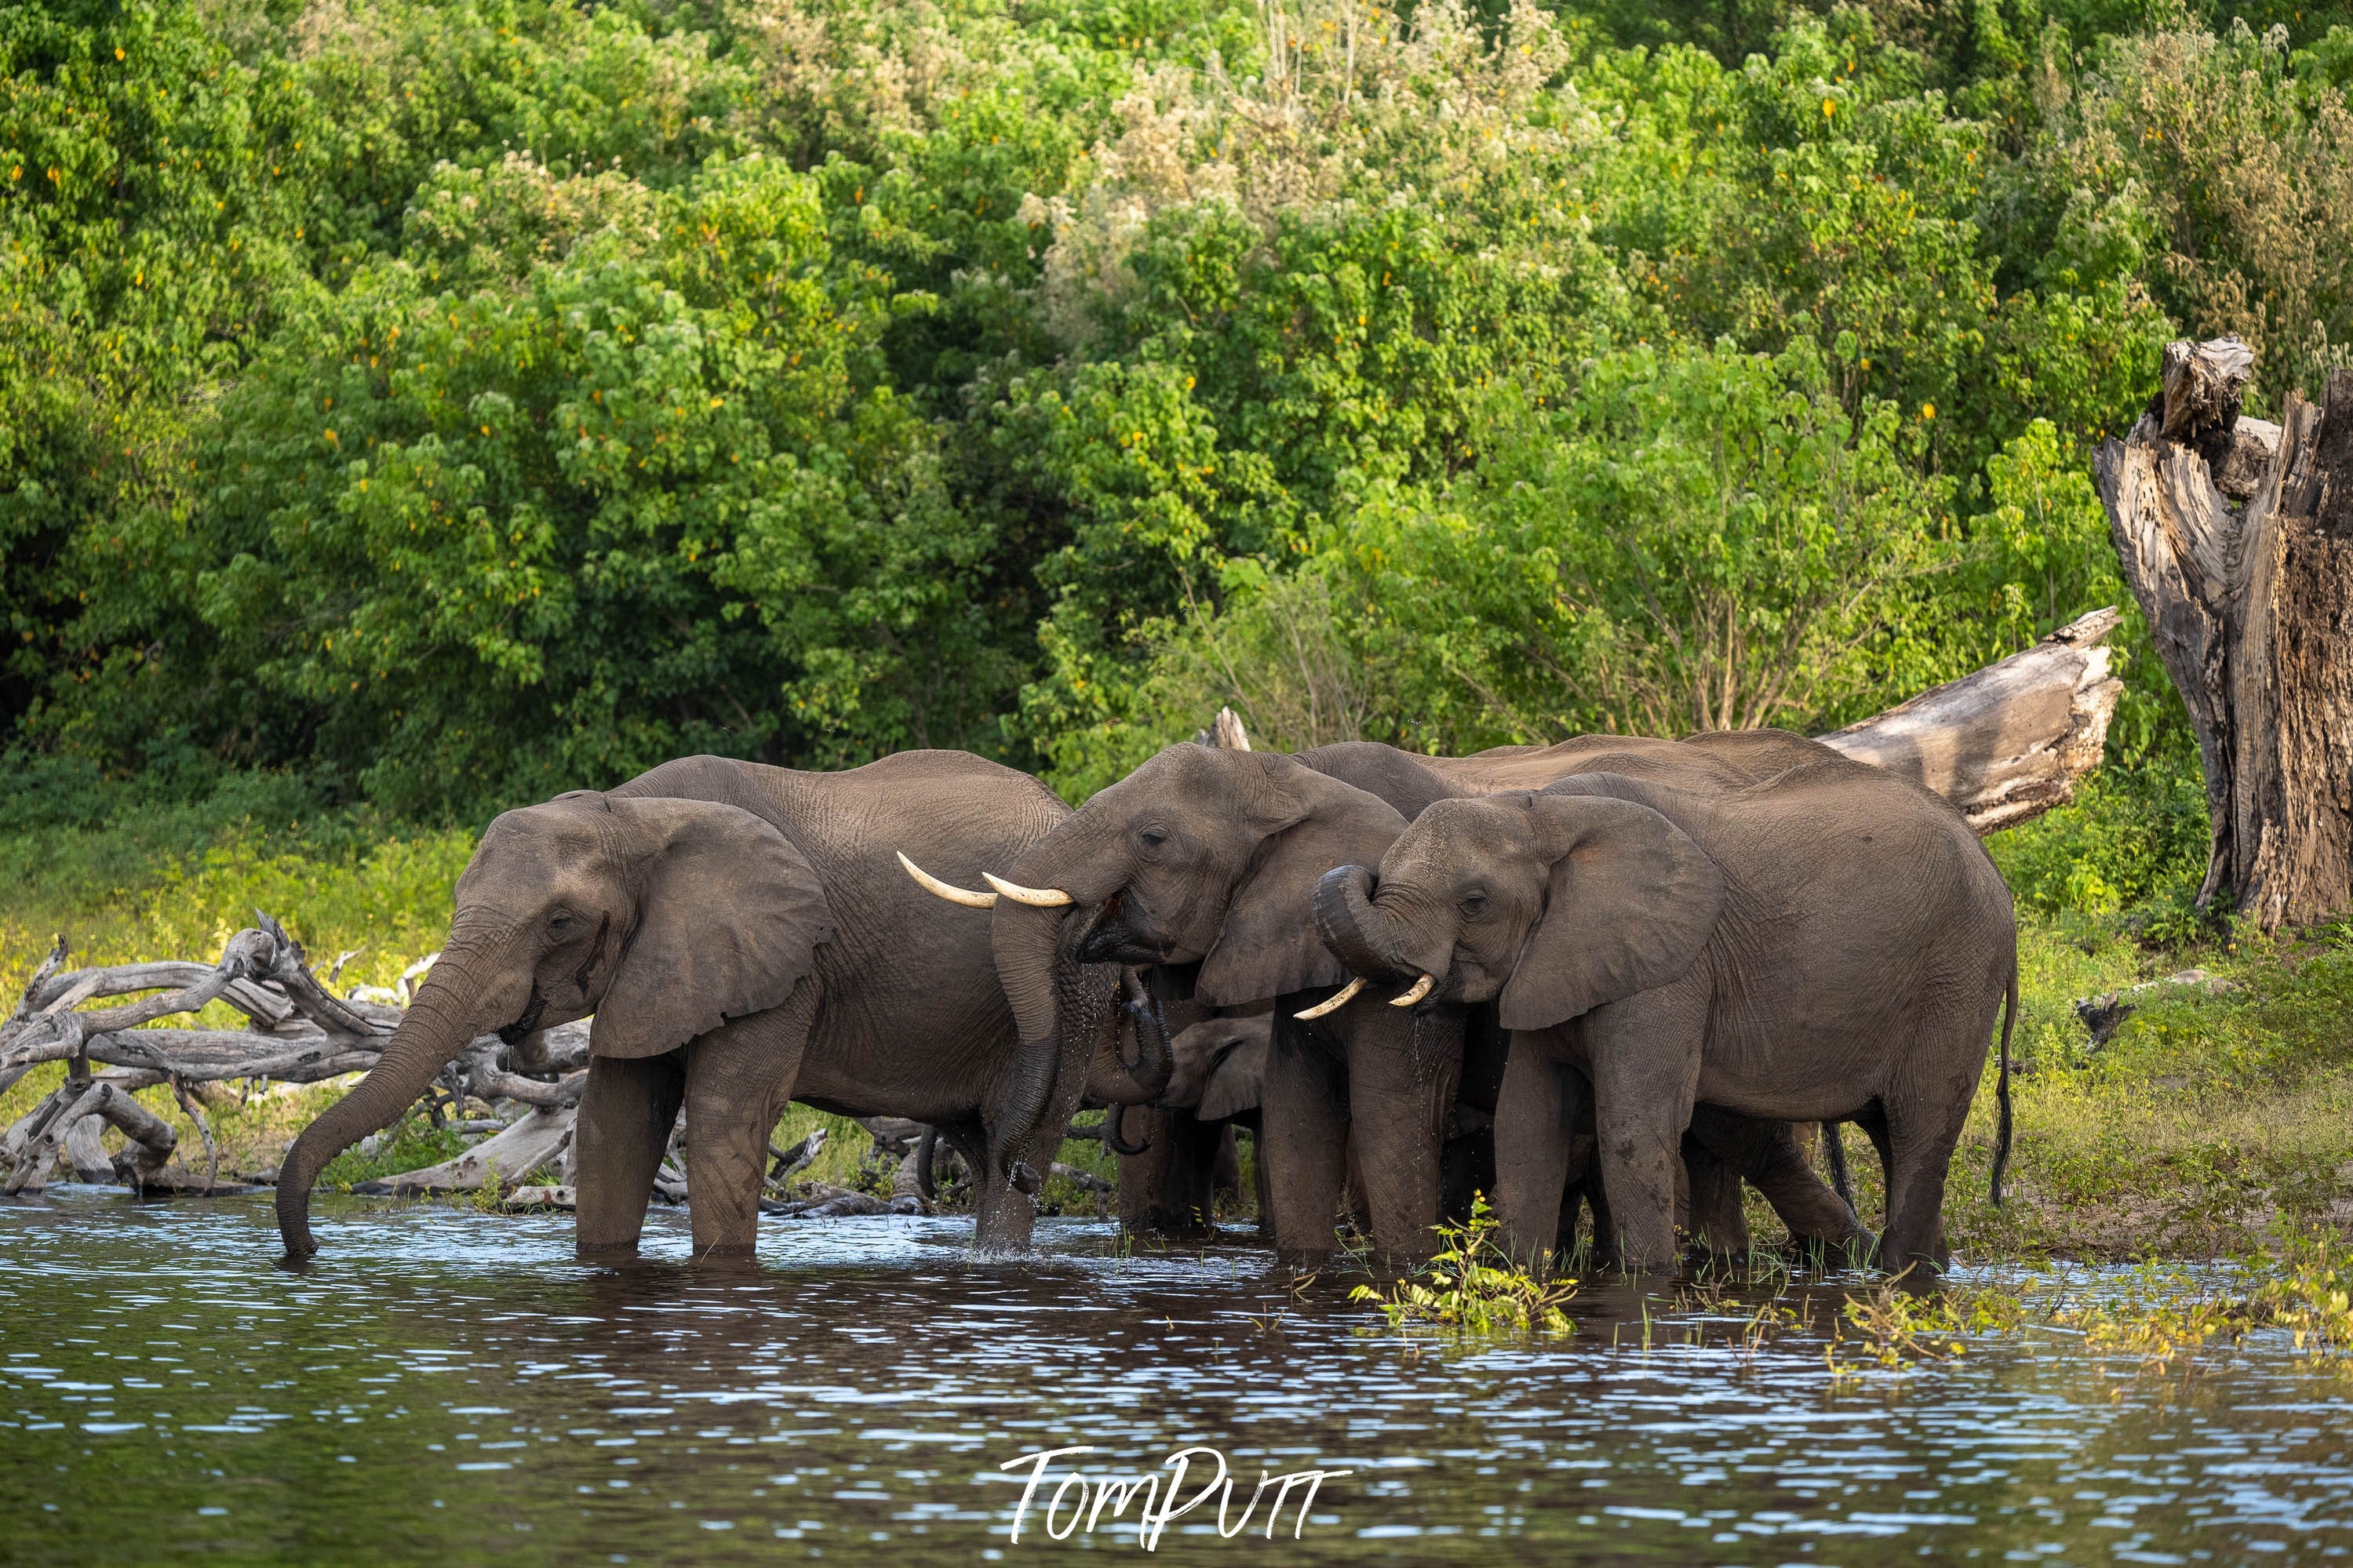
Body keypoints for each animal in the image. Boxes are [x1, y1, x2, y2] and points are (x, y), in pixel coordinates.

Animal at [275, 752, 1120, 1260]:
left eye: (559, 923)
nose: (311, 1249)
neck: (628, 814)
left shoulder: (785, 962)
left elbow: (722, 1120)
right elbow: (613, 1124)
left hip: (1073, 986)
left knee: (1021, 1140)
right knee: (985, 1146)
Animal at [1317, 738, 2014, 1279]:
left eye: (1473, 901)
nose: (1355, 872)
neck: (1540, 813)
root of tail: (1987, 860)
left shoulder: (1671, 968)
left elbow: (1633, 1123)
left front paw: (1645, 1282)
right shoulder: (1557, 959)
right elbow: (1526, 1118)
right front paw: (1521, 1275)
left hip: (1958, 978)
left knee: (1922, 1127)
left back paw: (1900, 1277)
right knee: (1892, 1137)